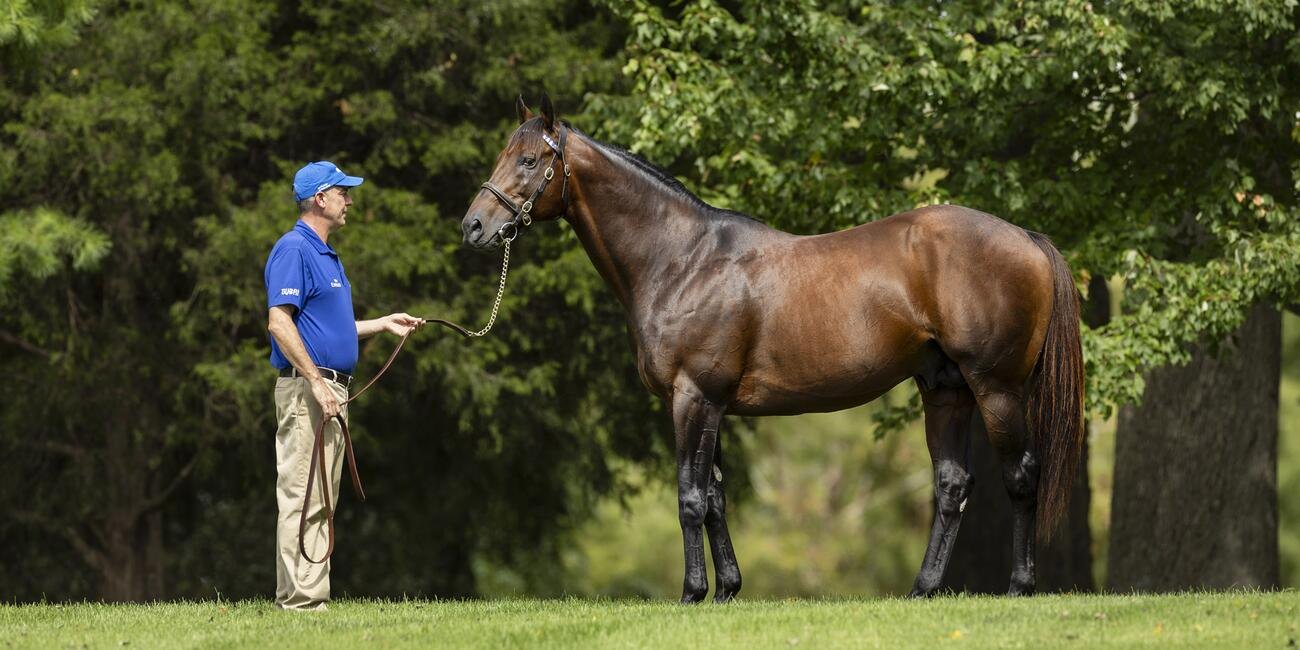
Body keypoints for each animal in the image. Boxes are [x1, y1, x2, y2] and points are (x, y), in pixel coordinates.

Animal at [461, 94, 1084, 602]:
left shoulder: (694, 396)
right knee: (952, 484)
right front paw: (727, 590)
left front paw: (691, 593)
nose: (473, 227)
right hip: (946, 389)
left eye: (528, 161)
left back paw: (1019, 587)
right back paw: (922, 589)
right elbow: (714, 498)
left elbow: (690, 497)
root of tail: (1025, 238)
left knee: (1021, 475)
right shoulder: (706, 403)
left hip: (996, 389)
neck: (682, 259)